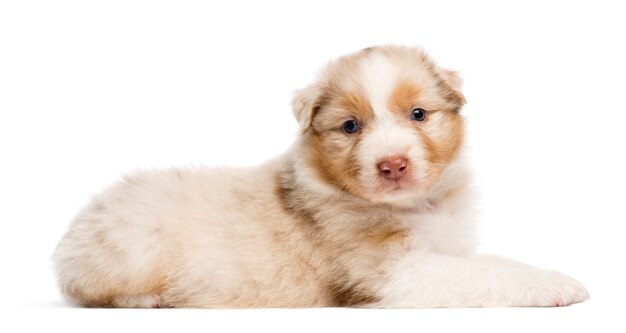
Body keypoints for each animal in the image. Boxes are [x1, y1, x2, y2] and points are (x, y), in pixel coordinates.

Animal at [52, 45, 584, 308]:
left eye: (418, 114)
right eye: (350, 126)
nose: (393, 165)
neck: (417, 205)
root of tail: (72, 233)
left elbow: (484, 259)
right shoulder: (388, 274)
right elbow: (487, 271)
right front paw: (558, 284)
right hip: (132, 244)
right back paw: (150, 300)